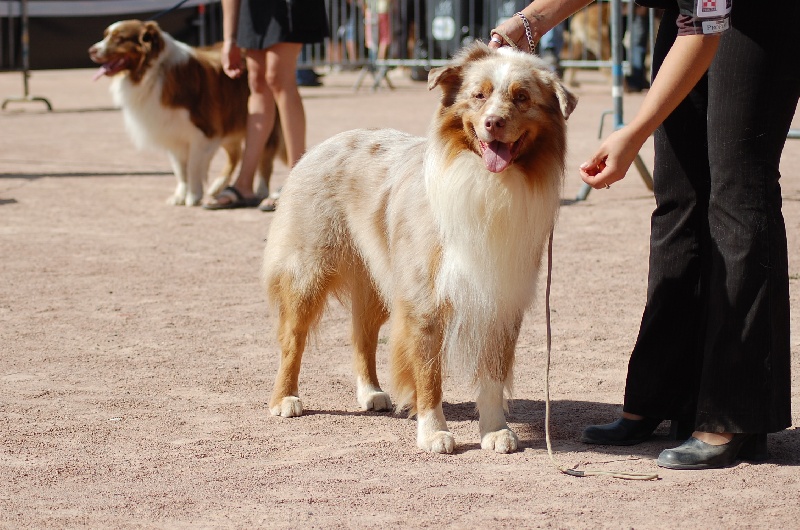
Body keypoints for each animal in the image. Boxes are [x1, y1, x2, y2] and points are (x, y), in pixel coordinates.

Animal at [89, 19, 282, 204]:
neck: (154, 71)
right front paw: (180, 196)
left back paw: (261, 191)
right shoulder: (173, 132)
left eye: (119, 39)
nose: (91, 50)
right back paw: (218, 187)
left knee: (264, 156)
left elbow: (193, 166)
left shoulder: (203, 133)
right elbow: (180, 169)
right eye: (106, 35)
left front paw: (193, 196)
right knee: (236, 155)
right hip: (229, 119)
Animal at [262, 43, 576, 452]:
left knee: (362, 335)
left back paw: (371, 393)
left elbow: (492, 374)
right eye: (479, 95)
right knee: (292, 338)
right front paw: (434, 433)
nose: (493, 123)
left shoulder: (501, 295)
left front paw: (495, 431)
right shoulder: (424, 299)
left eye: (522, 97)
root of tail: (322, 145)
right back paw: (285, 399)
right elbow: (429, 374)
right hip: (308, 270)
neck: (487, 183)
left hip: (376, 279)